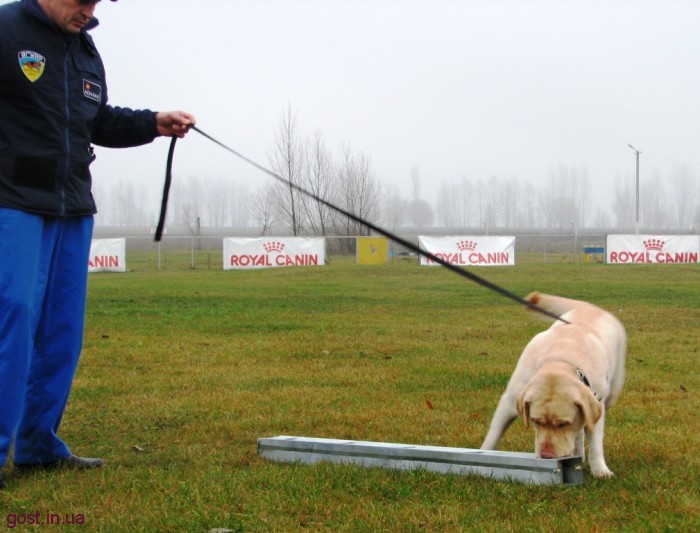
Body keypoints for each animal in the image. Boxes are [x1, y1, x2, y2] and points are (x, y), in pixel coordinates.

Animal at [481, 292, 626, 477]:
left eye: (563, 424)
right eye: (536, 421)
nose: (546, 455)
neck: (560, 359)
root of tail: (590, 307)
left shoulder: (596, 404)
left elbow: (595, 443)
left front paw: (601, 470)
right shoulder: (509, 401)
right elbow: (493, 433)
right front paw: (484, 454)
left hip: (612, 389)